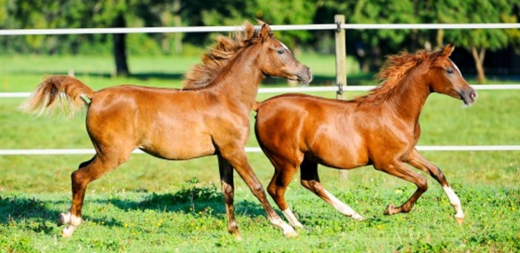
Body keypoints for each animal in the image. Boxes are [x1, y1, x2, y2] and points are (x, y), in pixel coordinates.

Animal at [20, 22, 312, 239]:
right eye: (280, 51)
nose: (307, 72)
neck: (227, 98)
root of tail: (95, 95)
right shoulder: (234, 150)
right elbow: (256, 186)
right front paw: (286, 227)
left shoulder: (223, 153)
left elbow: (227, 190)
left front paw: (235, 233)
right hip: (113, 155)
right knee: (79, 176)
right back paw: (70, 226)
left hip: (103, 151)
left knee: (79, 170)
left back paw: (64, 217)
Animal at [254, 45, 478, 229]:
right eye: (449, 70)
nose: (472, 94)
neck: (395, 112)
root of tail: (261, 105)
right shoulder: (386, 163)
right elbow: (422, 181)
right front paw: (391, 209)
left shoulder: (407, 153)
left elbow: (437, 172)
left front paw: (458, 212)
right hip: (287, 161)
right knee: (276, 189)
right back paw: (296, 226)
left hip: (308, 158)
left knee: (310, 183)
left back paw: (354, 215)